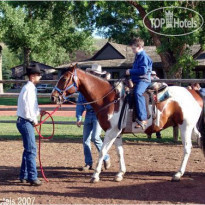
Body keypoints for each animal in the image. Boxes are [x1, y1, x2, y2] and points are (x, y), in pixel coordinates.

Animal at [50, 65, 205, 183]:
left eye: (64, 78)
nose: (53, 96)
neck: (109, 99)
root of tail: (194, 93)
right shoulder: (117, 132)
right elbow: (120, 152)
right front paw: (120, 174)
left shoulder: (111, 132)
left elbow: (102, 151)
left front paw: (95, 176)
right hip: (191, 128)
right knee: (199, 140)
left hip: (185, 126)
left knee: (187, 148)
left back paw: (178, 174)